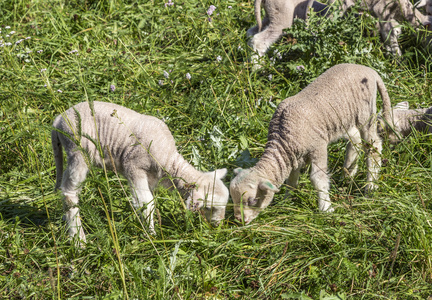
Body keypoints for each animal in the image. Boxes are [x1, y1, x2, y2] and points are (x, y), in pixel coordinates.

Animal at [52, 102, 230, 243]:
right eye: (209, 208)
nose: (218, 226)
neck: (168, 159)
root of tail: (59, 119)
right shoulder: (134, 167)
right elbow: (145, 202)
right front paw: (152, 235)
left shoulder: (151, 178)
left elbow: (147, 200)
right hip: (78, 149)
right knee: (69, 192)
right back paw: (78, 240)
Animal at [230, 63, 392, 225]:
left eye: (252, 201)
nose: (239, 220)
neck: (282, 137)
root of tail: (369, 70)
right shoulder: (294, 156)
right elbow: (292, 180)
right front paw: (286, 201)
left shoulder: (318, 146)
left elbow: (317, 179)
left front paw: (326, 208)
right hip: (346, 118)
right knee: (355, 139)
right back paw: (348, 174)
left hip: (366, 114)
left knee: (374, 146)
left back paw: (370, 187)